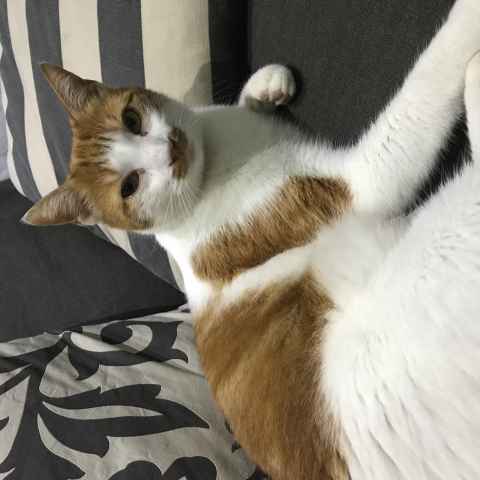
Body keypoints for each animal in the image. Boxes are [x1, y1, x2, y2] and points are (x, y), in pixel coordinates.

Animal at [23, 0, 480, 478]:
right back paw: (477, 74)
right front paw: (468, 20)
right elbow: (425, 83)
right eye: (129, 187)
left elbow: (246, 96)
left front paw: (265, 87)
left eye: (132, 119)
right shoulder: (365, 178)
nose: (170, 149)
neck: (213, 157)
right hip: (442, 242)